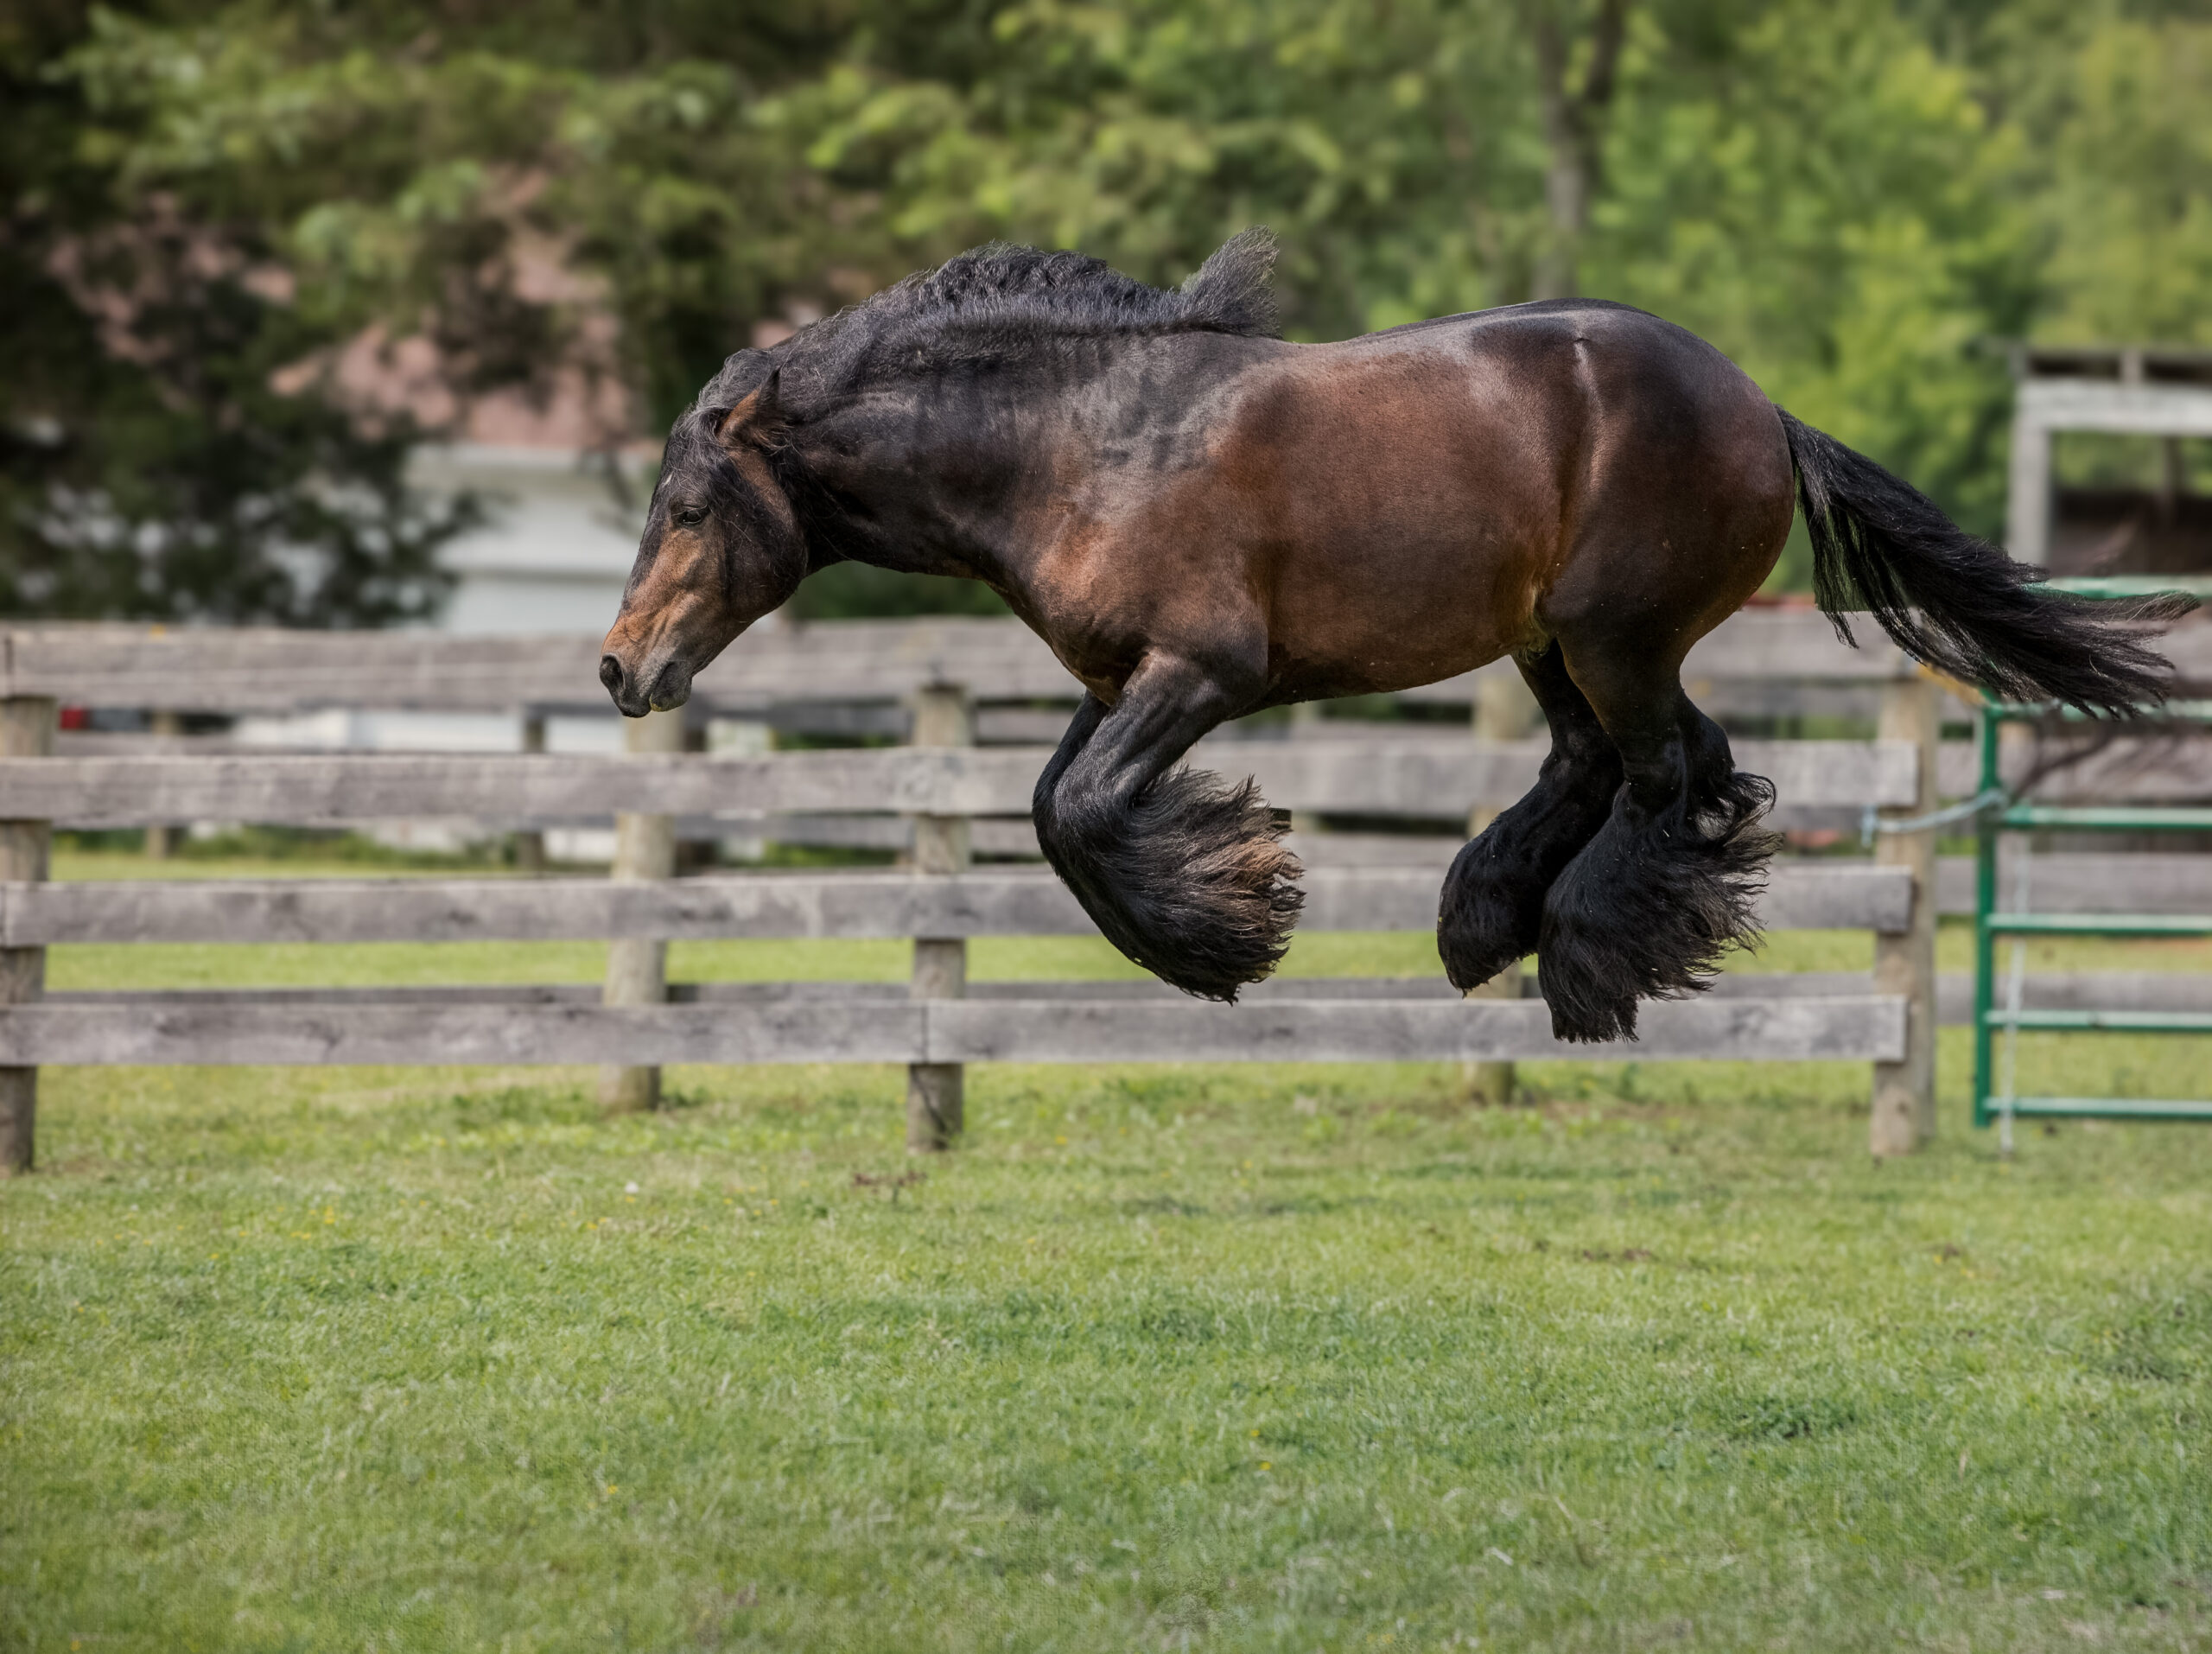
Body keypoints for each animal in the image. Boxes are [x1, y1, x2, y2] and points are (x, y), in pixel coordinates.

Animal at [599, 230, 2193, 1043]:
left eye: (687, 503)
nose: (621, 666)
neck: (1079, 441)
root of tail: (1765, 410)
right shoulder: (1120, 679)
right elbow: (1058, 807)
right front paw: (1226, 908)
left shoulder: (1202, 672)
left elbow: (1083, 814)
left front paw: (1226, 929)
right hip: (1558, 640)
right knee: (1647, 767)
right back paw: (1491, 920)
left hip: (1614, 631)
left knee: (1667, 773)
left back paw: (1583, 961)